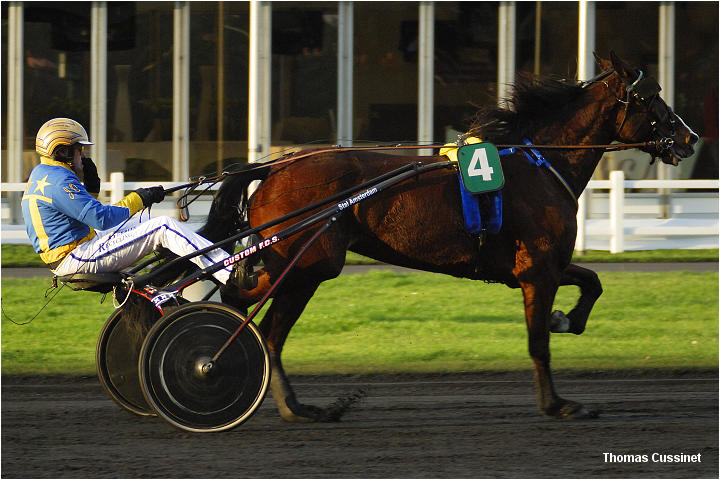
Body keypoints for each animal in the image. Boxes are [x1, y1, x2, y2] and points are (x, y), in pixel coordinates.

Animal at [198, 50, 696, 422]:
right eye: (653, 96)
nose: (689, 137)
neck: (537, 163)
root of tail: (274, 168)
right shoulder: (537, 271)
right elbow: (538, 342)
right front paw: (557, 404)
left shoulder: (543, 265)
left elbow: (592, 281)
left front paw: (566, 319)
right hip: (309, 265)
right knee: (266, 327)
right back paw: (285, 400)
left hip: (298, 265)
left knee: (251, 307)